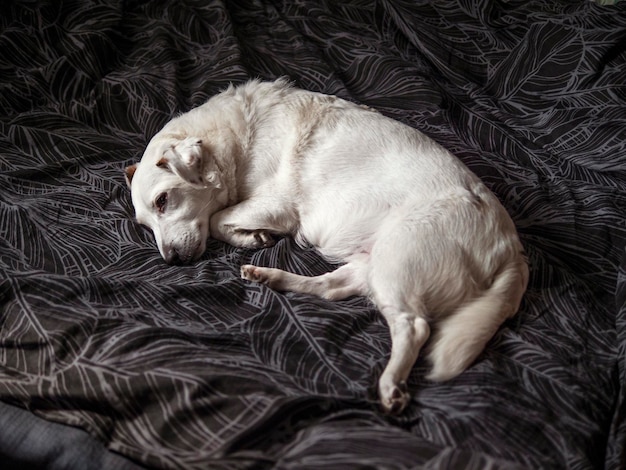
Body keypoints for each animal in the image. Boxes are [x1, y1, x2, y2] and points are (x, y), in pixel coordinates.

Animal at [125, 79, 528, 414]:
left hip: (395, 260)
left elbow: (216, 220)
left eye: (163, 200)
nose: (172, 260)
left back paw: (391, 385)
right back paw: (268, 276)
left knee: (413, 327)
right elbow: (220, 221)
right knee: (329, 290)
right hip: (370, 264)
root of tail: (513, 250)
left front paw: (248, 235)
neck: (239, 139)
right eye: (145, 225)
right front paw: (253, 239)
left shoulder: (276, 206)